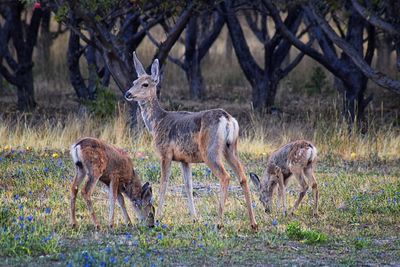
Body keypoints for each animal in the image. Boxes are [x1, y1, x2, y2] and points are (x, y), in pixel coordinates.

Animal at [123, 52, 258, 230]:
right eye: (134, 82)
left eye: (145, 84)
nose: (128, 93)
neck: (157, 122)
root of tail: (228, 119)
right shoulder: (184, 159)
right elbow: (188, 186)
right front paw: (195, 218)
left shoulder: (165, 153)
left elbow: (164, 183)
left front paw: (158, 218)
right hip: (230, 148)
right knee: (242, 176)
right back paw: (253, 223)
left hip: (210, 151)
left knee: (225, 176)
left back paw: (219, 223)